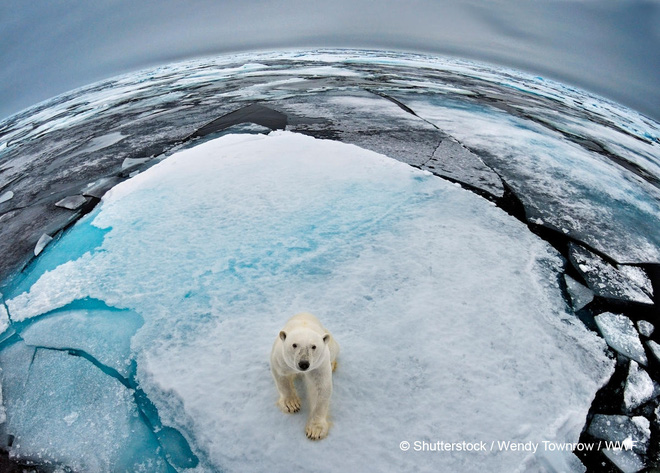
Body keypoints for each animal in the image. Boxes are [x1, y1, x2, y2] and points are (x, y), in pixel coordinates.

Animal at [270, 312, 340, 440]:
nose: (303, 364)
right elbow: (282, 378)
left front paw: (315, 430)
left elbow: (320, 388)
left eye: (314, 346)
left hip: (330, 343)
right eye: (294, 345)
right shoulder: (281, 358)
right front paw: (292, 405)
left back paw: (332, 364)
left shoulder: (319, 364)